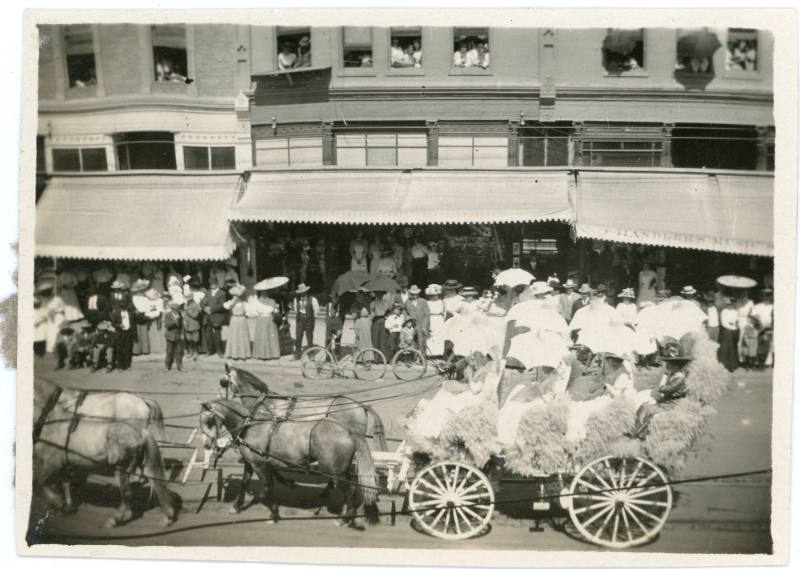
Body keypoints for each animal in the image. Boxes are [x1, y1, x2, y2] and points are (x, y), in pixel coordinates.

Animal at [197, 398, 378, 524]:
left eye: (209, 420)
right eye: (200, 422)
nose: (207, 445)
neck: (249, 427)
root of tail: (348, 431)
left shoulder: (259, 465)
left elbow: (266, 488)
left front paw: (273, 513)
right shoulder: (251, 463)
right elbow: (245, 483)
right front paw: (236, 507)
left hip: (333, 471)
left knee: (350, 489)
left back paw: (344, 518)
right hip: (342, 470)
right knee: (350, 489)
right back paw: (347, 513)